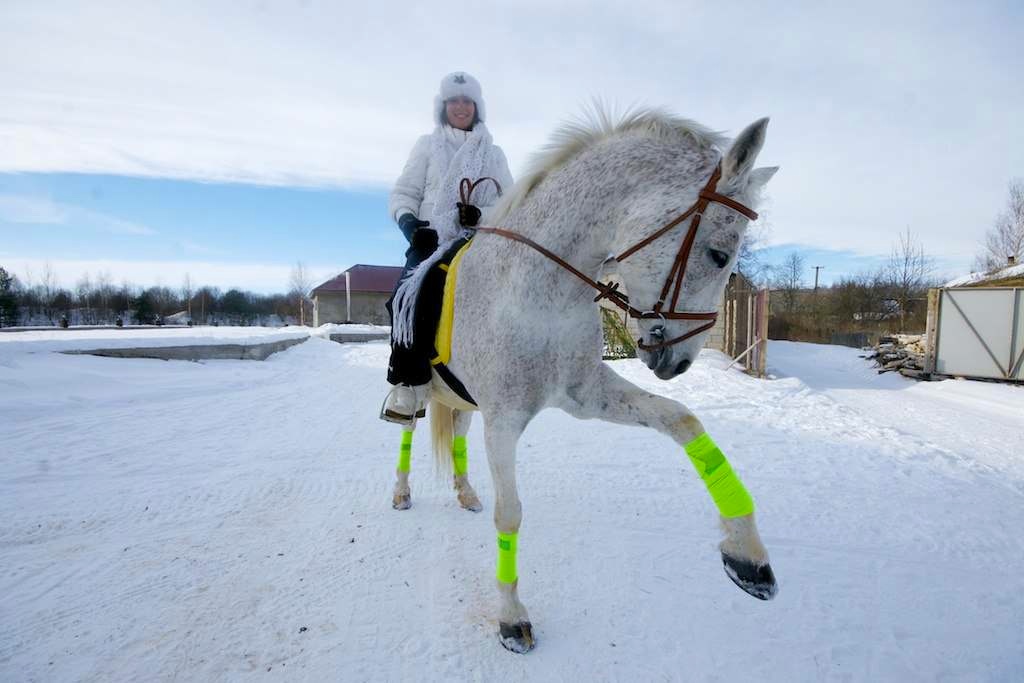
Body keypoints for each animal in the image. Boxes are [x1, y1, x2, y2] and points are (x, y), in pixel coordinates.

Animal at [403, 109, 778, 655]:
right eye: (718, 254)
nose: (680, 363)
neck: (534, 290)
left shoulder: (585, 395)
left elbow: (682, 421)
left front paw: (747, 554)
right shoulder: (503, 421)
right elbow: (510, 515)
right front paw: (512, 618)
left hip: (462, 402)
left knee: (455, 438)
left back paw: (465, 493)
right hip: (413, 394)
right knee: (406, 436)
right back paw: (400, 493)